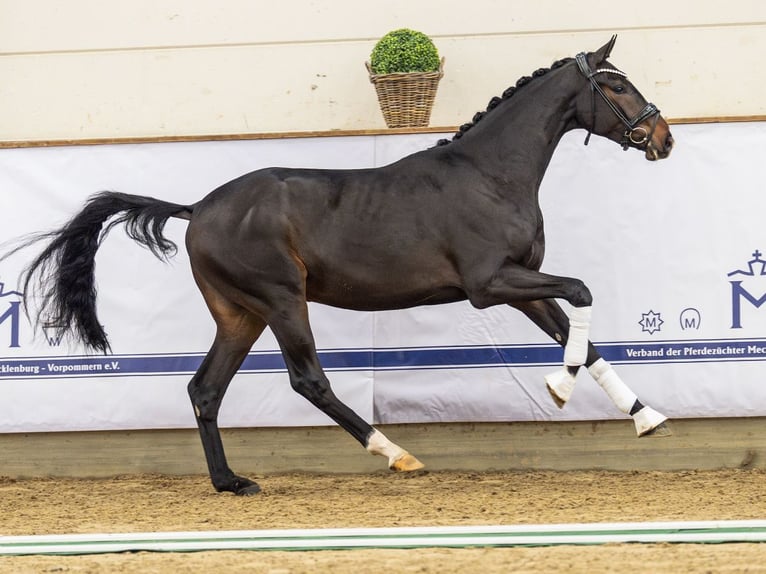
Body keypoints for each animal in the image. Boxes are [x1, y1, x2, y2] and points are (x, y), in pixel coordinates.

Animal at [7, 36, 674, 495]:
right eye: (616, 86)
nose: (663, 138)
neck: (489, 175)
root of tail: (199, 208)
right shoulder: (489, 284)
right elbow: (583, 294)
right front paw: (559, 389)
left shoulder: (522, 284)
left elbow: (581, 336)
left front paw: (648, 418)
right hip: (282, 301)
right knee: (308, 381)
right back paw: (396, 454)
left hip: (240, 315)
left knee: (205, 389)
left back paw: (231, 482)